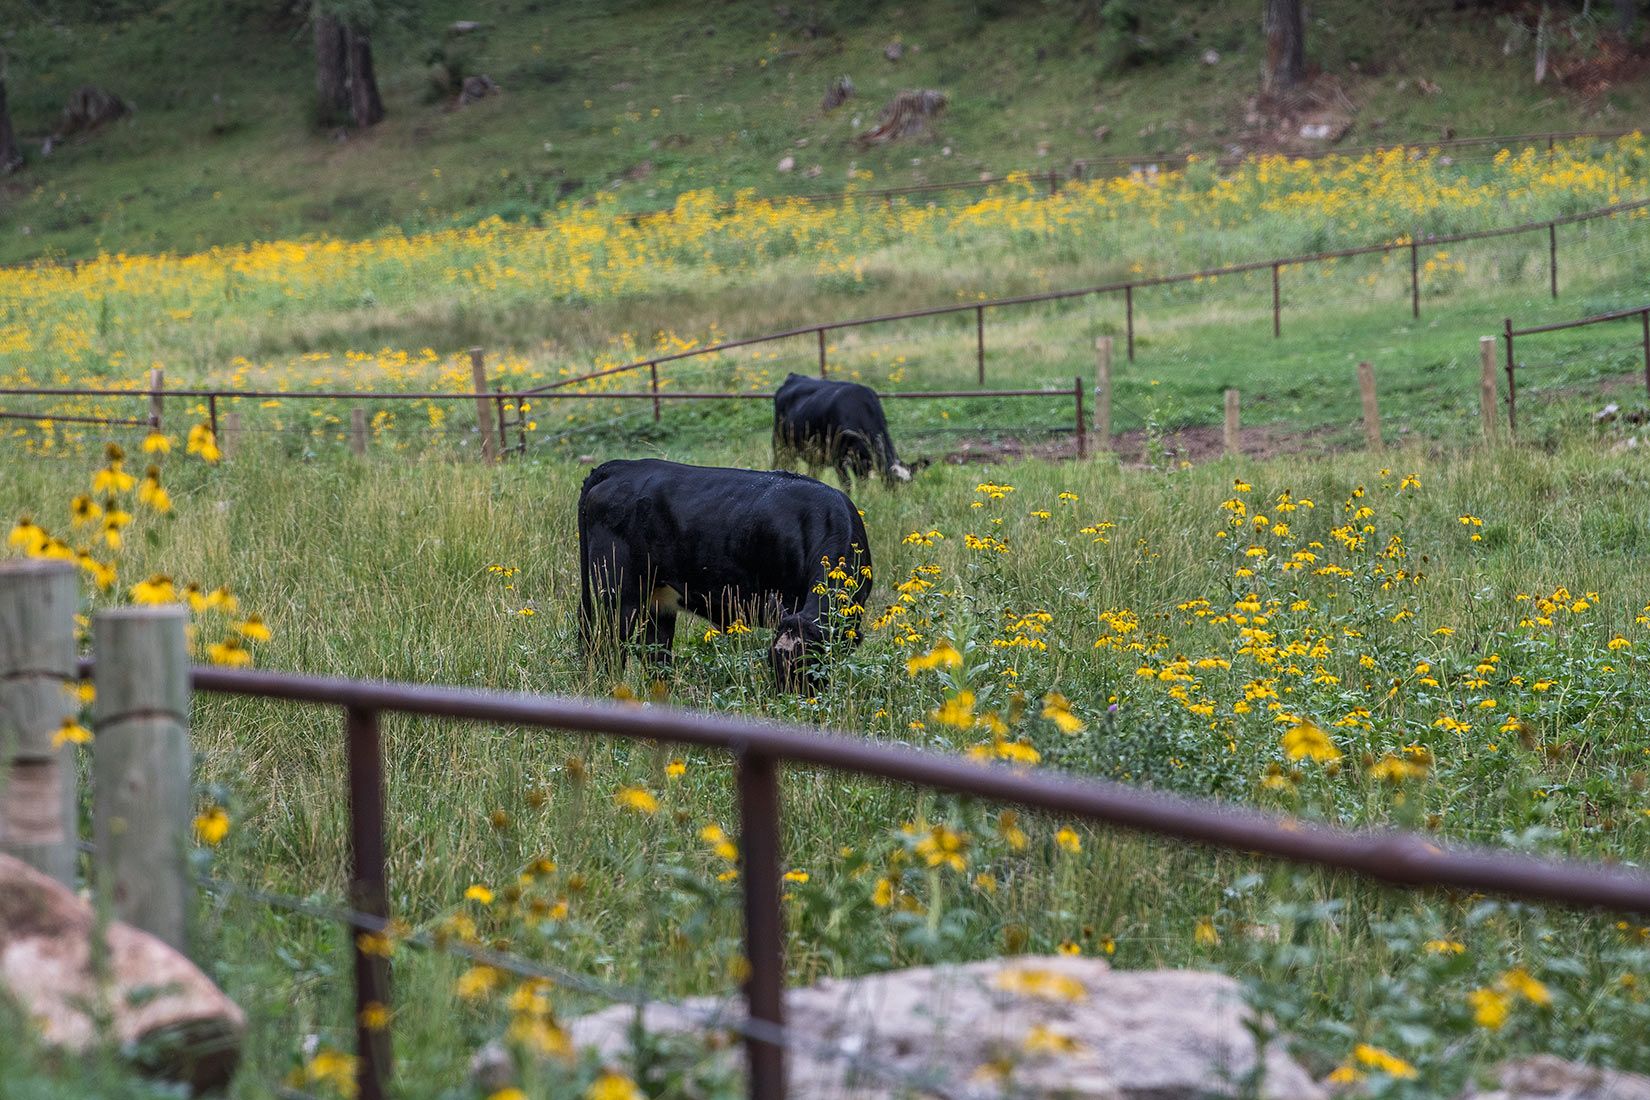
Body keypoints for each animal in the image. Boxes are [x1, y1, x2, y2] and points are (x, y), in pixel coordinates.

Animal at [577, 458, 872, 692]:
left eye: (811, 662)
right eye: (773, 662)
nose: (788, 702)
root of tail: (622, 466)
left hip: (657, 601)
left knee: (655, 653)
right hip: (620, 595)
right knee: (609, 647)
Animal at [772, 373, 925, 488]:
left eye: (910, 484)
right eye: (892, 482)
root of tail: (794, 376)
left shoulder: (862, 463)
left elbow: (862, 484)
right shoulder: (839, 460)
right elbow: (848, 485)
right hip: (781, 446)